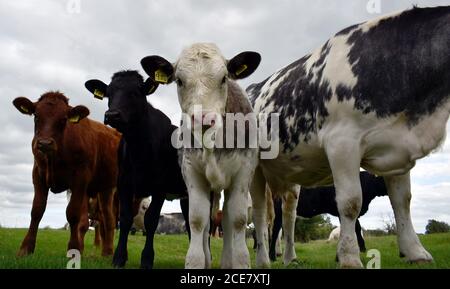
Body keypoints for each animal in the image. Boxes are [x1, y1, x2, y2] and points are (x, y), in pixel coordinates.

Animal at [12, 91, 120, 255]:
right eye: (36, 116)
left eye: (63, 119)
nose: (44, 143)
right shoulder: (38, 174)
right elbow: (36, 210)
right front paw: (25, 248)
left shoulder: (81, 178)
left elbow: (73, 214)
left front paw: (73, 249)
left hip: (108, 187)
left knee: (109, 219)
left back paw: (107, 253)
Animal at [85, 70, 190, 268]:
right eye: (108, 94)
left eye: (135, 92)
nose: (112, 114)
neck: (139, 147)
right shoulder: (124, 184)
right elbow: (125, 219)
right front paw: (119, 257)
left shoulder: (159, 188)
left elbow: (151, 220)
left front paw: (147, 259)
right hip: (185, 196)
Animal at [141, 42, 260, 268]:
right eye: (179, 80)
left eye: (224, 78)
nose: (204, 118)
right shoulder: (192, 174)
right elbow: (197, 220)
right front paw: (196, 262)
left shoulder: (243, 173)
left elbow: (238, 220)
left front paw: (240, 262)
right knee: (206, 226)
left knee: (227, 220)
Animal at [246, 7, 450, 268]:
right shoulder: (342, 143)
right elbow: (351, 202)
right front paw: (349, 258)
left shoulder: (398, 146)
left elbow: (402, 201)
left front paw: (415, 252)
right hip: (255, 169)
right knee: (260, 213)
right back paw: (263, 260)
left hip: (290, 173)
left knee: (289, 215)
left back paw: (290, 258)